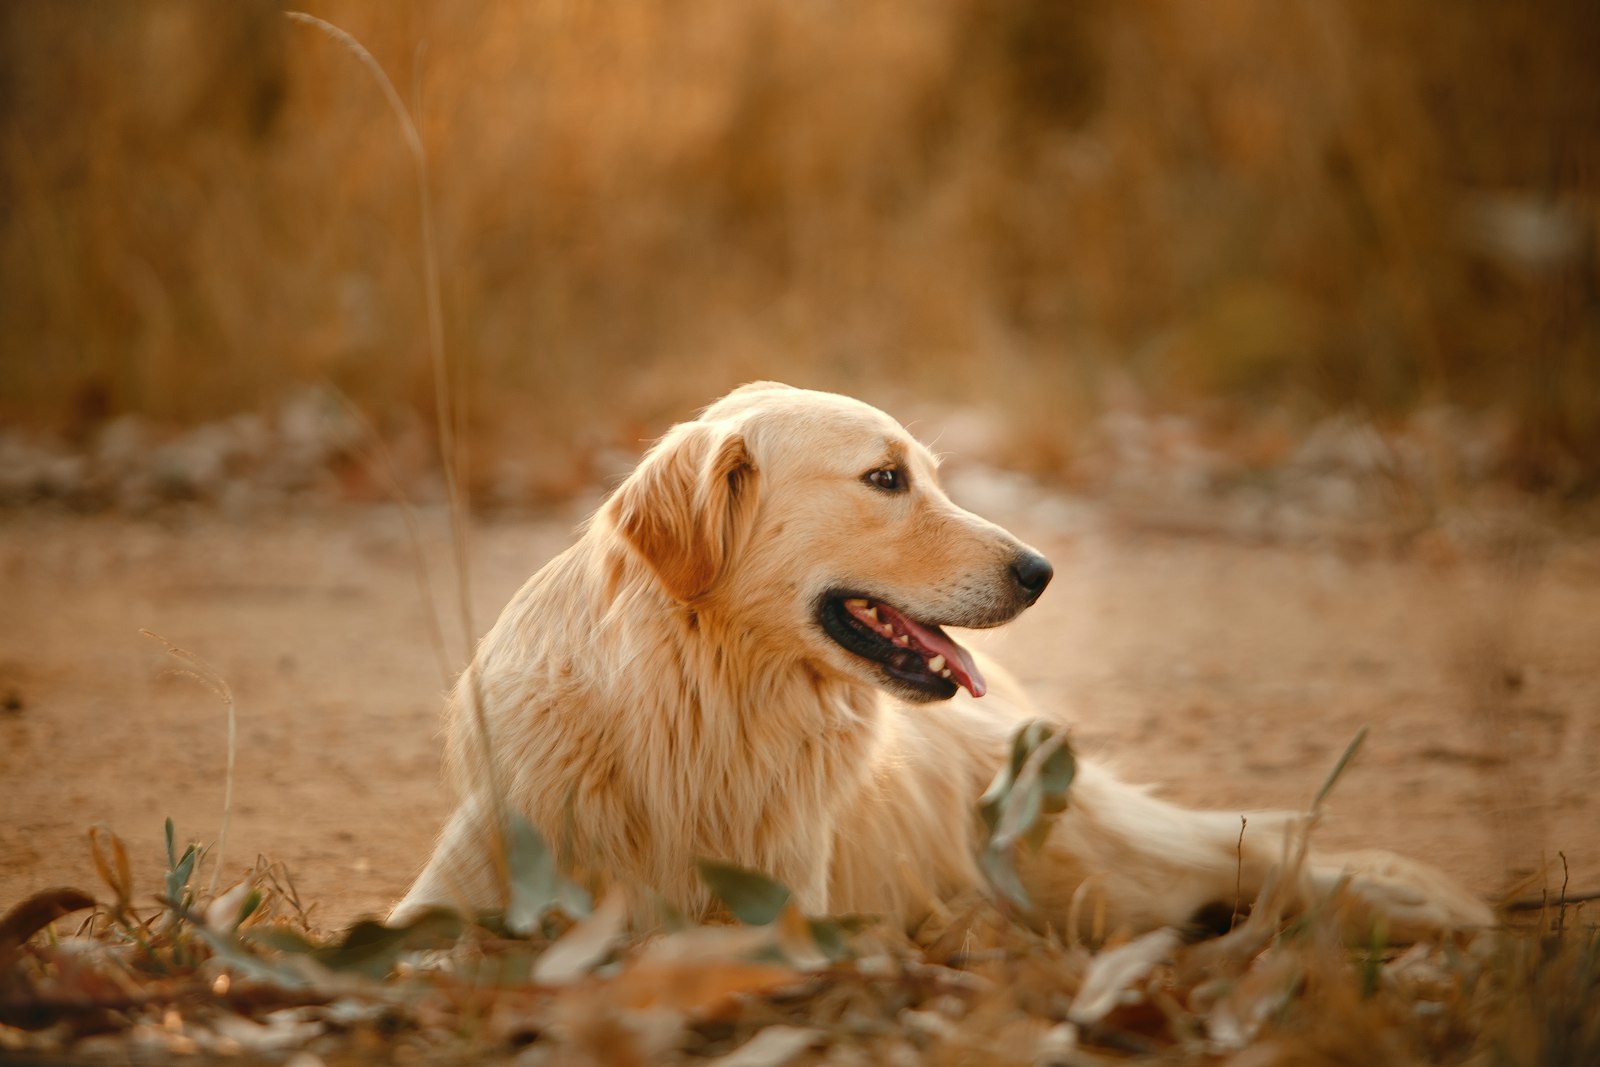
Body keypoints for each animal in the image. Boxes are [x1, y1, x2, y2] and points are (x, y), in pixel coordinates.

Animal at [393, 383, 1491, 940]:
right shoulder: (457, 886)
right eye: (885, 479)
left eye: (927, 470)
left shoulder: (776, 915)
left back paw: (1416, 907)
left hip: (1086, 856)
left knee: (1258, 849)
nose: (1041, 570)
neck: (699, 704)